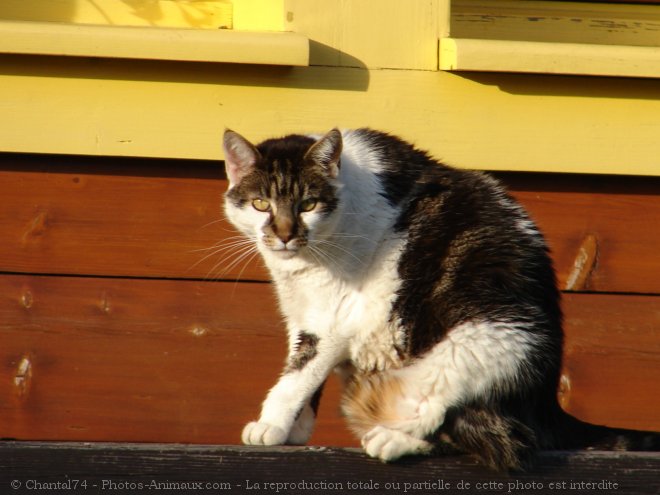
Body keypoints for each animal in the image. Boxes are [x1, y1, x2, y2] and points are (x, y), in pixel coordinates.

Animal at [220, 126, 656, 470]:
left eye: (308, 204)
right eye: (261, 203)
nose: (285, 234)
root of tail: (547, 401)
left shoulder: (333, 319)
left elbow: (297, 375)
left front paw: (271, 424)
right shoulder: (304, 316)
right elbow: (305, 371)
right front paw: (296, 428)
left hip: (477, 343)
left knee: (498, 438)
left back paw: (395, 439)